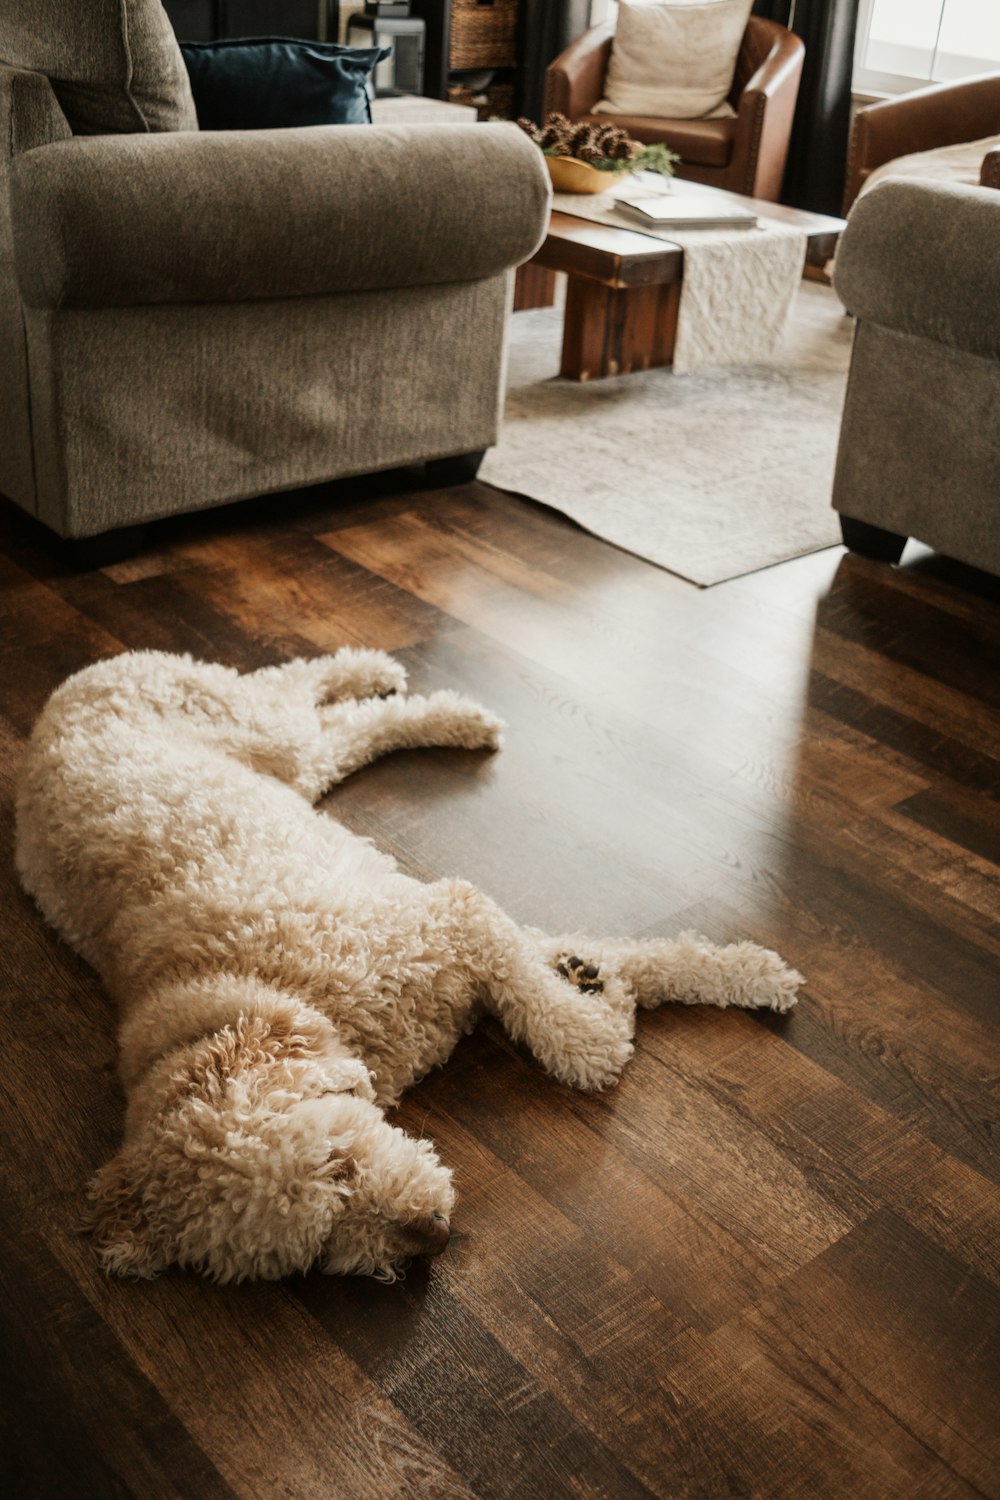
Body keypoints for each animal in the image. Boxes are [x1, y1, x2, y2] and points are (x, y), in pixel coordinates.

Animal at [11, 651, 803, 1284]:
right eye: (313, 1253)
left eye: (339, 1162)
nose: (433, 1236)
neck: (267, 999)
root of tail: (58, 701)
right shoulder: (456, 934)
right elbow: (597, 979)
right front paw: (604, 980)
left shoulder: (453, 916)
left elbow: (580, 1034)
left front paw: (732, 980)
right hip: (291, 766)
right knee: (348, 728)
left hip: (265, 732)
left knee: (299, 684)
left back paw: (404, 687)